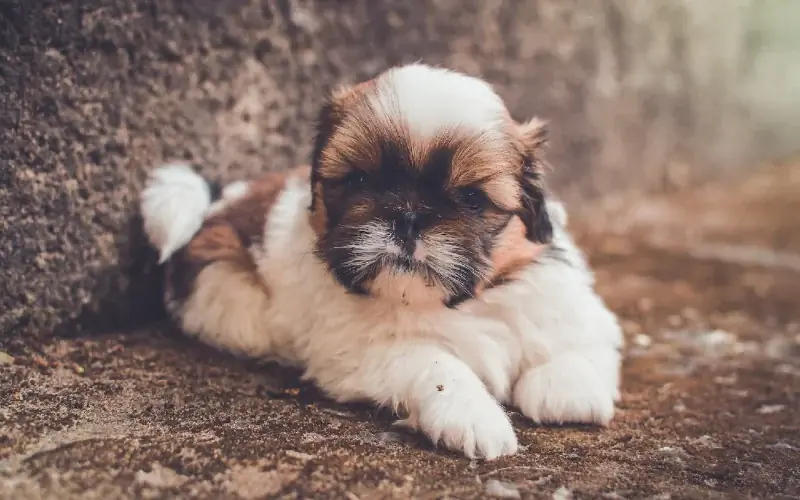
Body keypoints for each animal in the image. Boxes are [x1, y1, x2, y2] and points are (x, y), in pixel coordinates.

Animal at [139, 63, 624, 460]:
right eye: (358, 180)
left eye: (471, 198)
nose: (407, 216)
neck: (457, 304)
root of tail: (218, 204)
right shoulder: (363, 351)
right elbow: (436, 364)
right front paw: (472, 414)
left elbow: (575, 336)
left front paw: (567, 386)